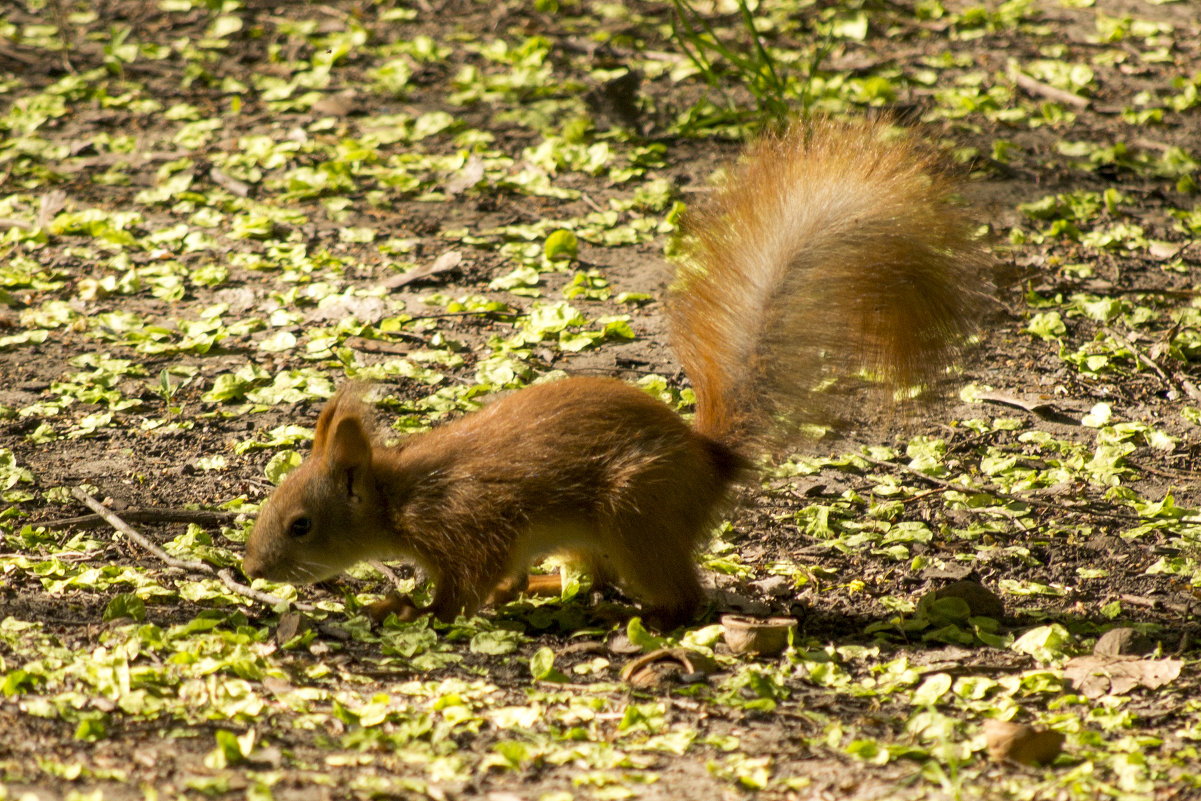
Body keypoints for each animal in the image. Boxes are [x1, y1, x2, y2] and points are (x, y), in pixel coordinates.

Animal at [238, 115, 989, 629]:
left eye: (301, 524)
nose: (251, 567)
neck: (398, 497)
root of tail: (709, 462)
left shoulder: (469, 526)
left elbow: (466, 586)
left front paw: (415, 611)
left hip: (637, 513)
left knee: (684, 598)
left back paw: (640, 616)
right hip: (596, 533)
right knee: (592, 576)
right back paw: (554, 590)